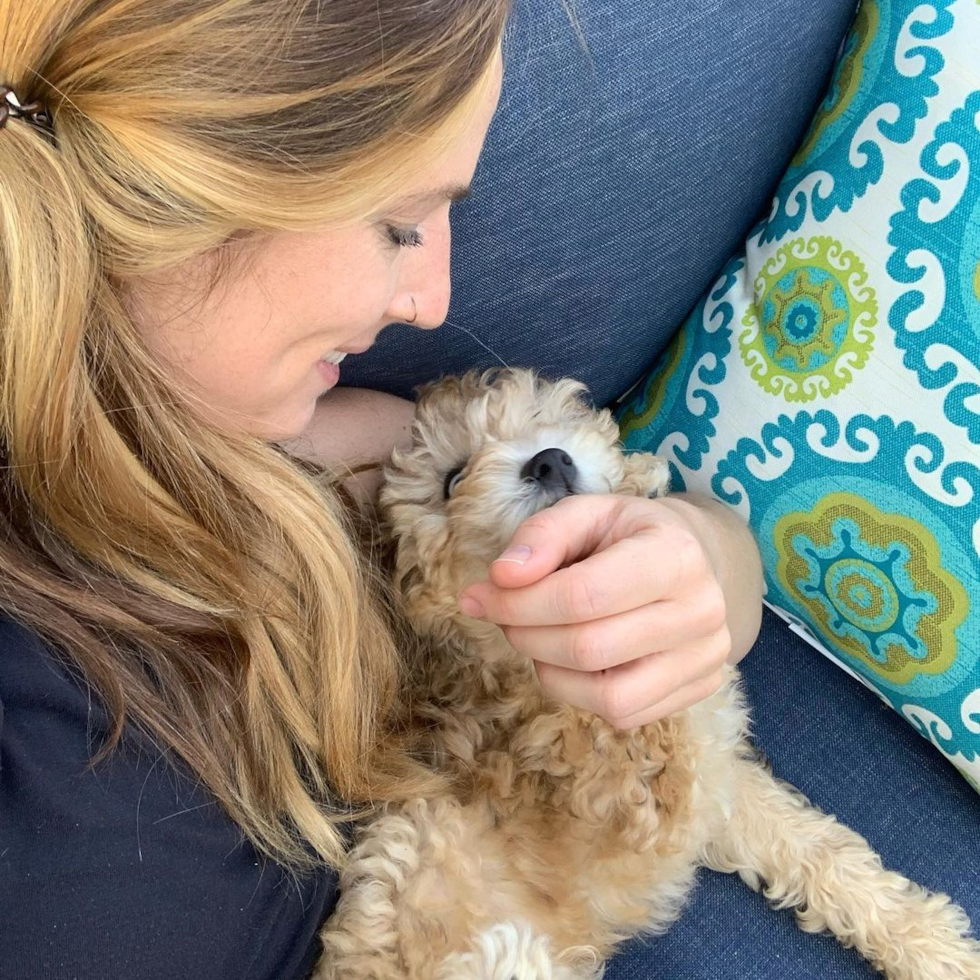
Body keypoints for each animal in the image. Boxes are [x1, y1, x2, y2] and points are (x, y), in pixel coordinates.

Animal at [318, 370, 976, 980]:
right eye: (453, 480)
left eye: (548, 421)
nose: (550, 458)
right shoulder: (656, 800)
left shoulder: (719, 772)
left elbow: (815, 846)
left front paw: (933, 945)